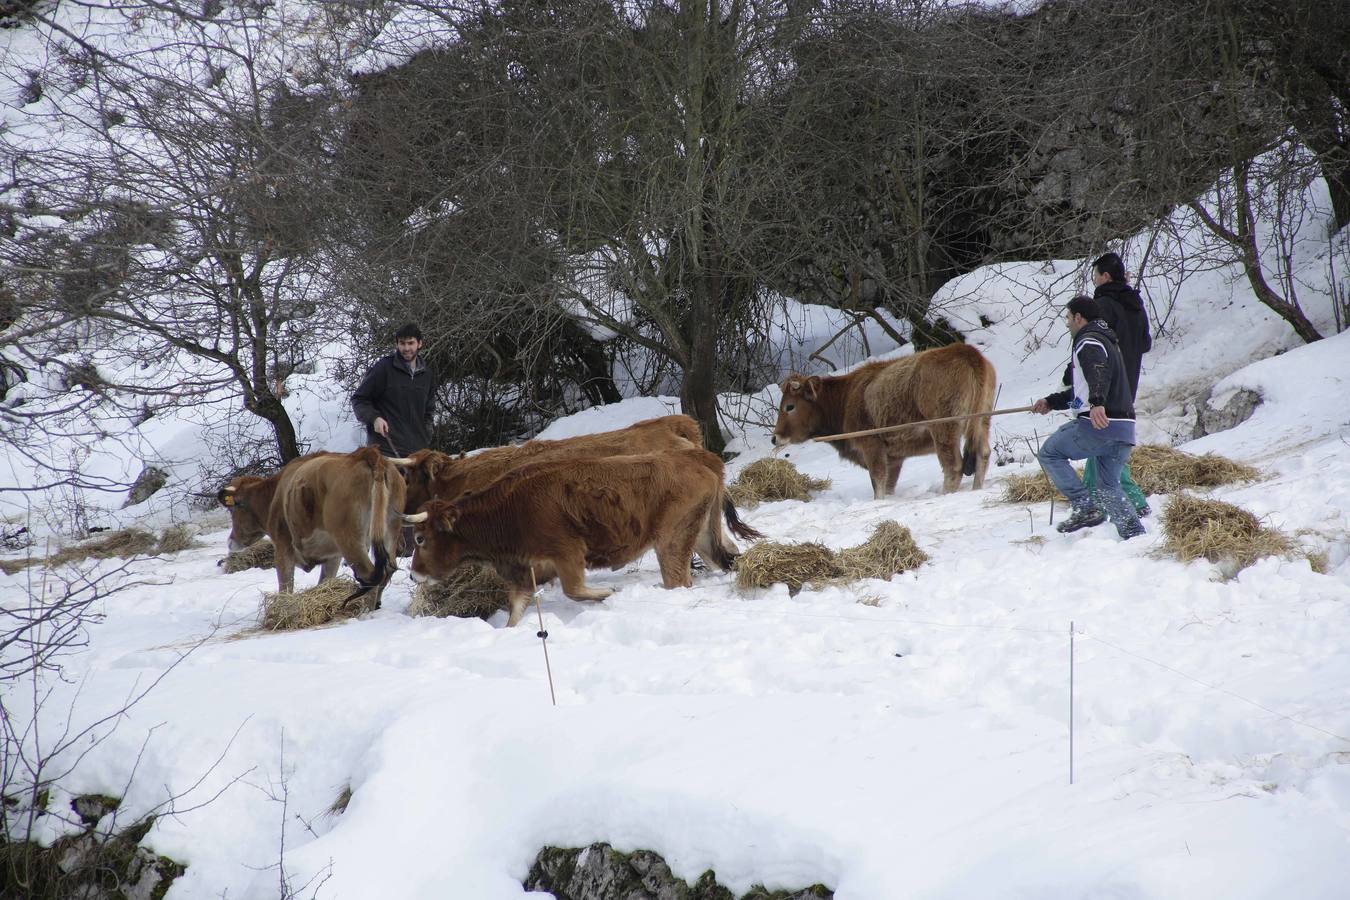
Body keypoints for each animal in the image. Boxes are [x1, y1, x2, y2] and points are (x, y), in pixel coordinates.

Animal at [216, 447, 402, 604]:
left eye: (232, 510)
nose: (230, 541)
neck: (275, 494)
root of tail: (364, 454)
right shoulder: (333, 555)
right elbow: (324, 582)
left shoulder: (283, 547)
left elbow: (285, 588)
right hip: (389, 528)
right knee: (388, 568)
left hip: (349, 539)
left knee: (371, 574)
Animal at [405, 447, 750, 626]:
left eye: (420, 538)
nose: (412, 574)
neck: (511, 509)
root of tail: (698, 459)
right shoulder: (526, 573)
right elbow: (515, 614)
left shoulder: (567, 554)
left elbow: (574, 590)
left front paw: (609, 593)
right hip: (702, 536)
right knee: (728, 555)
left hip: (671, 543)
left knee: (679, 579)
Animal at [772, 345, 1004, 499]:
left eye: (789, 406)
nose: (775, 437)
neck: (845, 397)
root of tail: (966, 351)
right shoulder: (894, 457)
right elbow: (889, 484)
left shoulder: (872, 446)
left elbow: (878, 482)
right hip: (982, 422)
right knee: (983, 454)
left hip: (944, 429)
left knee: (953, 466)